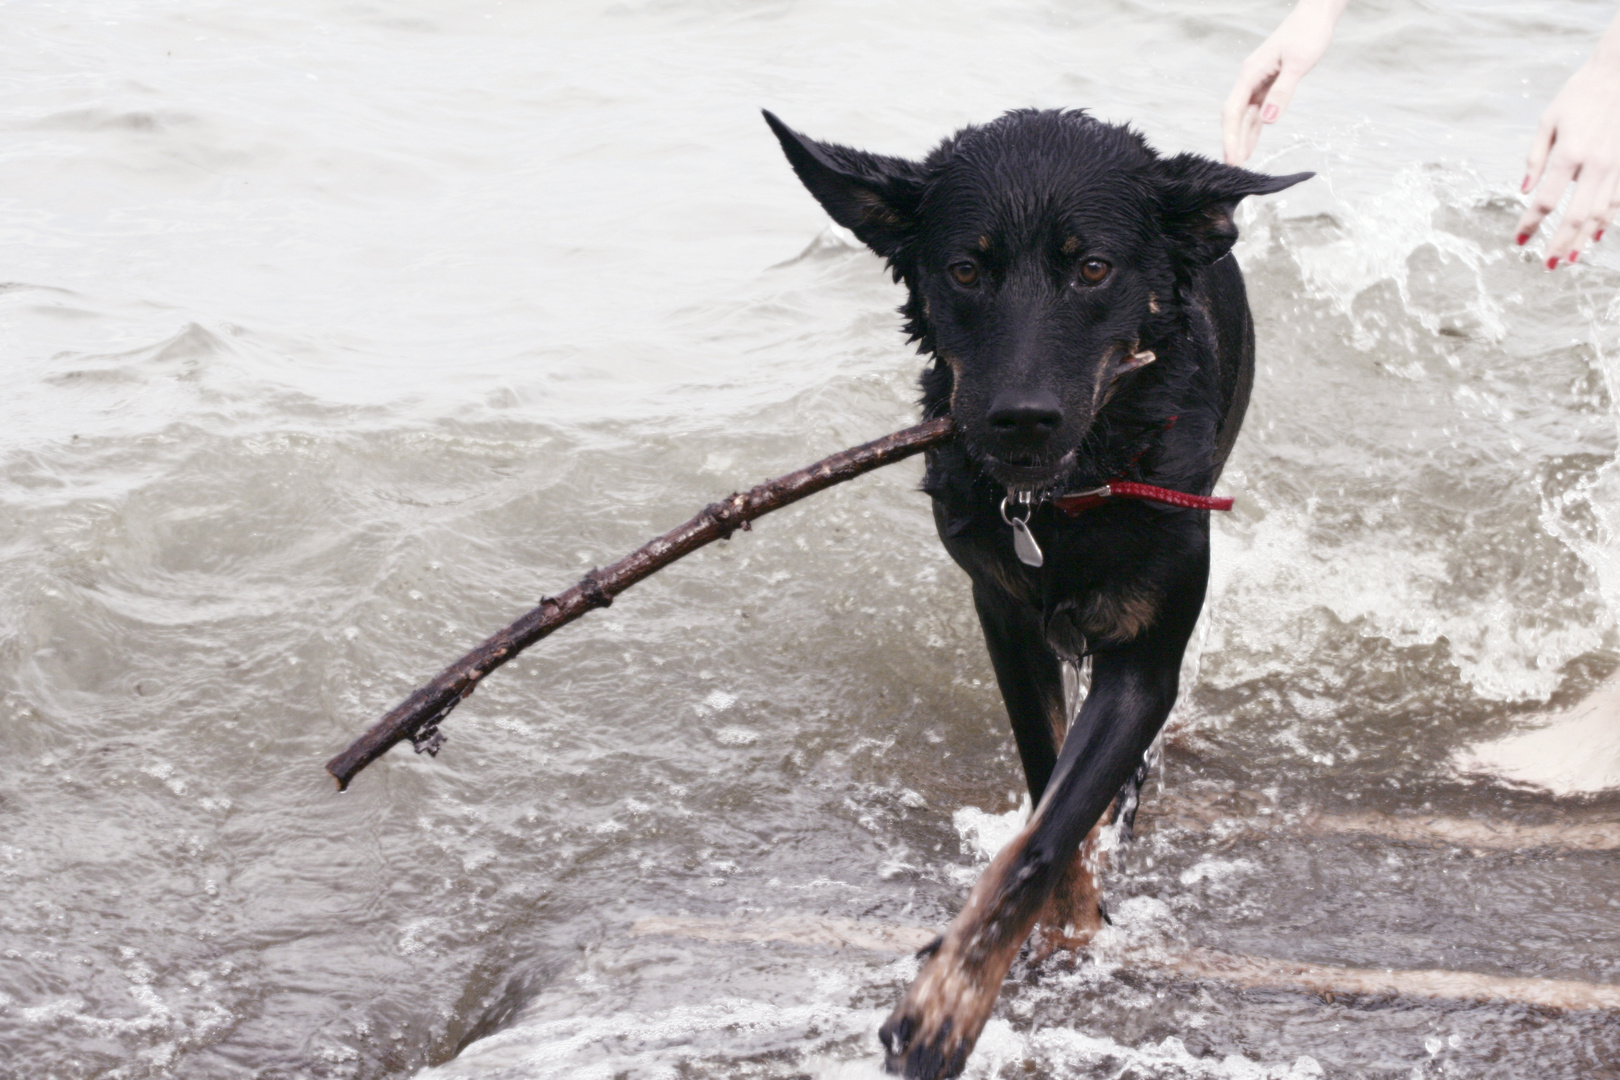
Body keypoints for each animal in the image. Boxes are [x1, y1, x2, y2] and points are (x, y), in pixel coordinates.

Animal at [764, 111, 1308, 1080]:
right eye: (965, 269)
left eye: (1091, 268)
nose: (1020, 419)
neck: (1065, 498)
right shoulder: (1004, 618)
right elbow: (1045, 774)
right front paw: (1066, 921)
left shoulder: (1144, 660)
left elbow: (1048, 830)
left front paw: (948, 1004)